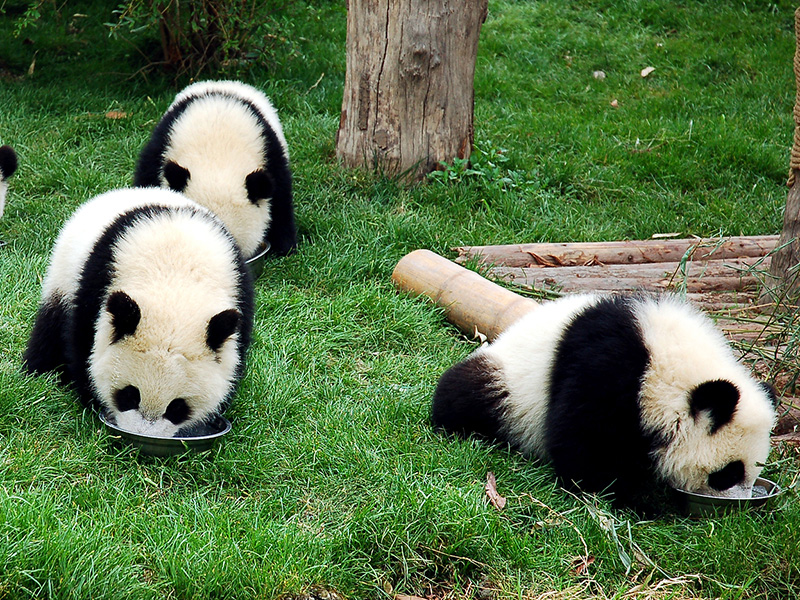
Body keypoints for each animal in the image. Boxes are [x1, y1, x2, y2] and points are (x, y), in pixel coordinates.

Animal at [23, 187, 255, 437]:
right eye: (130, 395)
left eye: (177, 408)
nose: (143, 434)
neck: (176, 284)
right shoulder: (98, 283)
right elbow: (83, 343)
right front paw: (90, 397)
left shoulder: (239, 295)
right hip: (64, 274)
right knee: (50, 328)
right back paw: (39, 372)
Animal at [431, 292, 778, 510]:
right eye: (729, 473)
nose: (740, 502)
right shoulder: (607, 370)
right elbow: (582, 441)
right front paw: (637, 500)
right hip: (510, 384)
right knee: (468, 395)